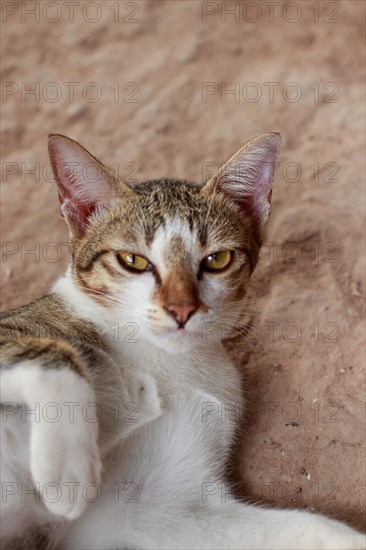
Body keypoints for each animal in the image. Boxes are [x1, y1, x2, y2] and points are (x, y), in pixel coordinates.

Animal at [1, 134, 364, 550]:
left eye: (218, 259)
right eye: (133, 261)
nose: (181, 309)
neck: (163, 362)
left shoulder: (145, 512)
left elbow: (308, 527)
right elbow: (56, 351)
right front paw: (68, 475)